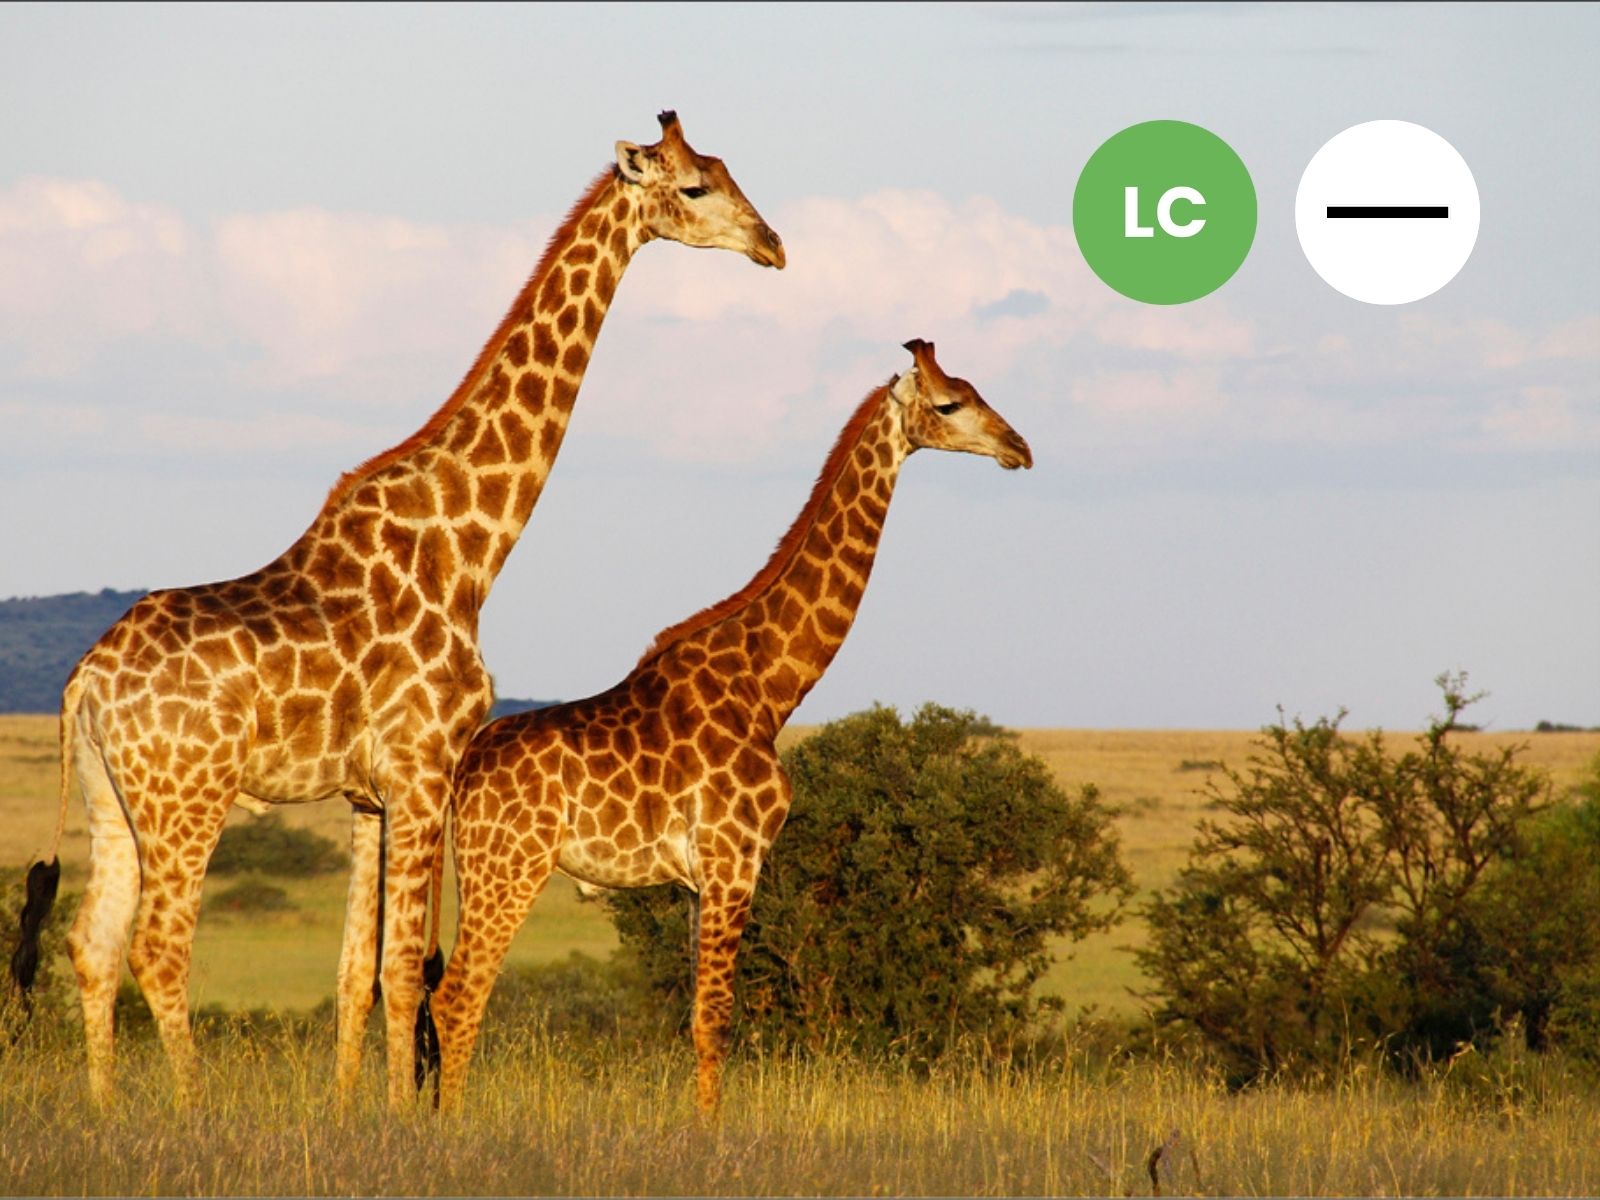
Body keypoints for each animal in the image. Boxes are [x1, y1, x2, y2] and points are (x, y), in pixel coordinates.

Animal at [9, 111, 784, 1110]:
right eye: (694, 187)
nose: (772, 244)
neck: (469, 550)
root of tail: (83, 684)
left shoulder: (368, 795)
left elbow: (359, 973)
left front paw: (355, 1114)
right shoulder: (423, 772)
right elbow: (407, 972)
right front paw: (410, 1119)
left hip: (114, 798)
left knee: (92, 945)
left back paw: (109, 1115)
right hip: (189, 795)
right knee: (159, 948)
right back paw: (190, 1110)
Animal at [428, 339, 1032, 1114]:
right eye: (952, 403)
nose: (1019, 448)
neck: (770, 687)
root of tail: (462, 774)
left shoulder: (695, 880)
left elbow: (696, 1016)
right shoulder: (735, 858)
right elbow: (716, 1017)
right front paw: (710, 1133)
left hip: (481, 868)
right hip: (513, 865)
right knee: (460, 996)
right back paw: (448, 1124)